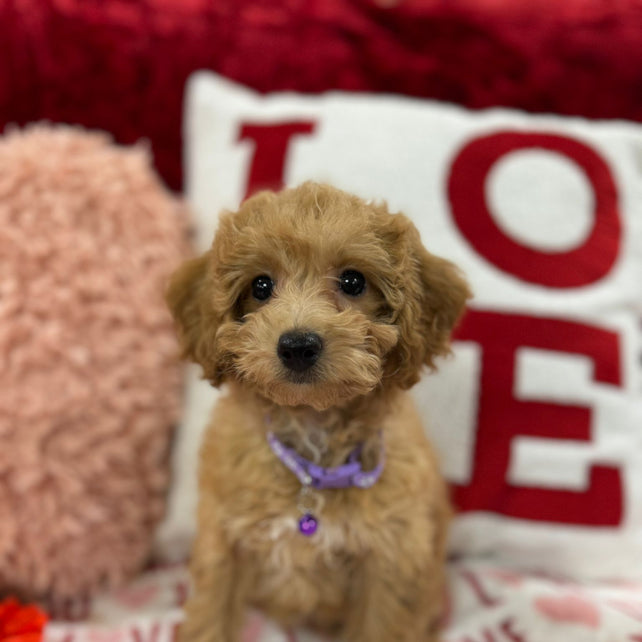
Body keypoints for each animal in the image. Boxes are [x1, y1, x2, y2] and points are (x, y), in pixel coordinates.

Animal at [169, 181, 470, 640]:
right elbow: (211, 615)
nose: (297, 346)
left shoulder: (391, 559)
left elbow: (382, 625)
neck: (312, 427)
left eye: (353, 281)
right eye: (260, 286)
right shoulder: (223, 539)